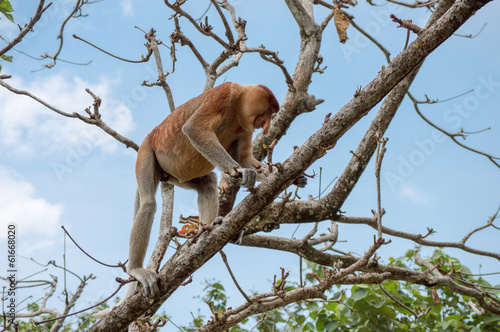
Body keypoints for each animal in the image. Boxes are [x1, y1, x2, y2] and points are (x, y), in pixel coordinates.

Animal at [94, 81, 304, 318]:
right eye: (268, 111)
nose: (267, 126)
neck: (238, 105)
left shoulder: (245, 128)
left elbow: (244, 157)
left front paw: (293, 177)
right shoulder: (224, 93)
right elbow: (194, 129)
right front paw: (243, 172)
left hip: (175, 176)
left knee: (208, 182)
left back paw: (211, 228)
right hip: (148, 152)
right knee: (148, 204)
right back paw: (137, 270)